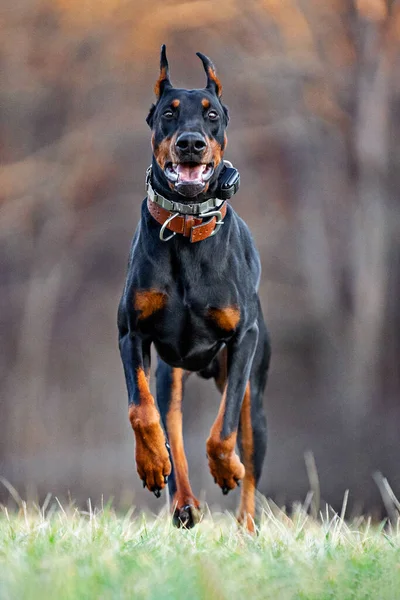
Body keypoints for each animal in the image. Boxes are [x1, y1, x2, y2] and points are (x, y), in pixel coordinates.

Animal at [117, 48, 270, 536]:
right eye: (168, 113)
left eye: (212, 115)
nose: (190, 143)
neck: (185, 230)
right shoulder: (132, 333)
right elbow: (141, 412)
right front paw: (150, 464)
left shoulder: (244, 340)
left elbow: (222, 431)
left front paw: (226, 468)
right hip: (172, 376)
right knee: (173, 434)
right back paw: (183, 502)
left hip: (256, 396)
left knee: (249, 454)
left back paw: (246, 528)